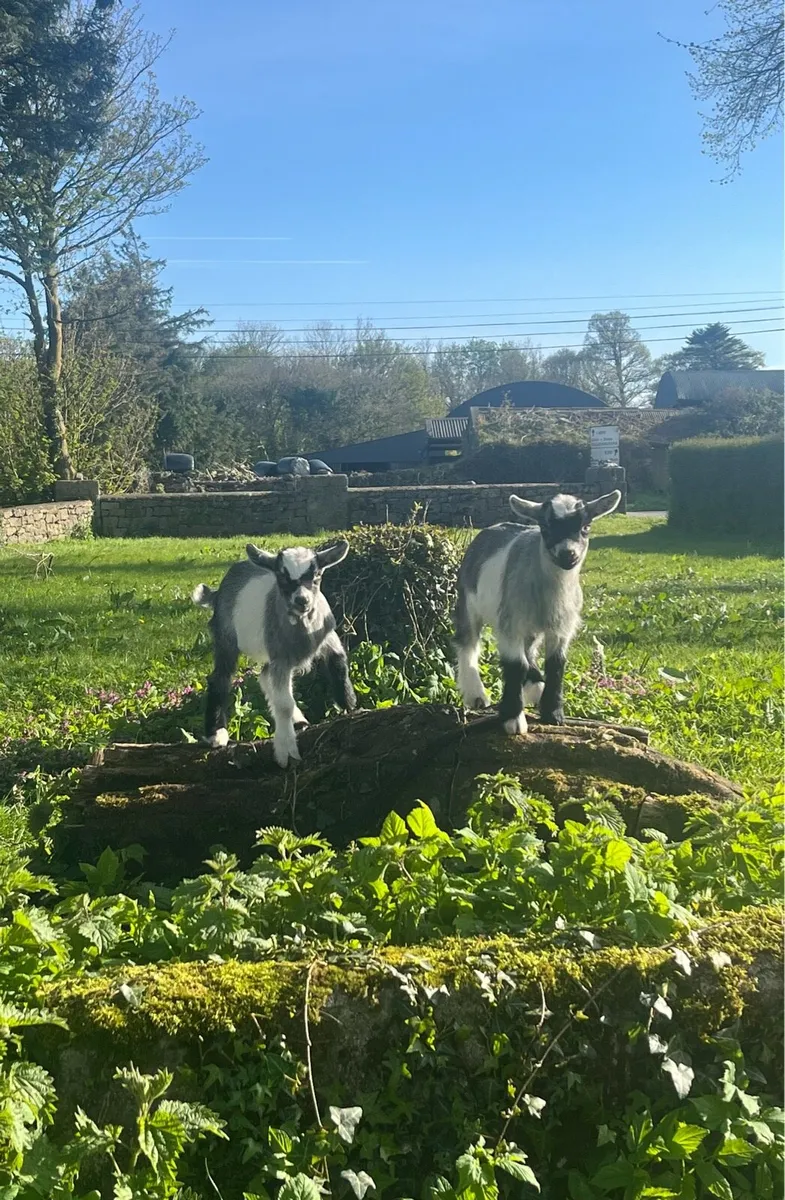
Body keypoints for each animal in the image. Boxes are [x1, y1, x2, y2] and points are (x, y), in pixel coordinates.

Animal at [192, 541, 356, 766]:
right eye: (282, 577)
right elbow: (284, 704)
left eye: (316, 575)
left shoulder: (328, 636)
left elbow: (339, 663)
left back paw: (299, 721)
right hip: (226, 637)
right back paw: (216, 733)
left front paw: (349, 706)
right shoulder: (281, 659)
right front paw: (286, 750)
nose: (302, 601)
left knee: (263, 676)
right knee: (221, 678)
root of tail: (218, 592)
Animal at [454, 490, 621, 734]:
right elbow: (516, 665)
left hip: (531, 628)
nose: (568, 554)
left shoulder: (561, 627)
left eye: (585, 527)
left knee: (530, 652)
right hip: (467, 600)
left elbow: (556, 664)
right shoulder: (511, 623)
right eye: (545, 527)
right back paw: (476, 694)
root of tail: (491, 528)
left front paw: (554, 714)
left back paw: (536, 688)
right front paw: (513, 719)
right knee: (468, 643)